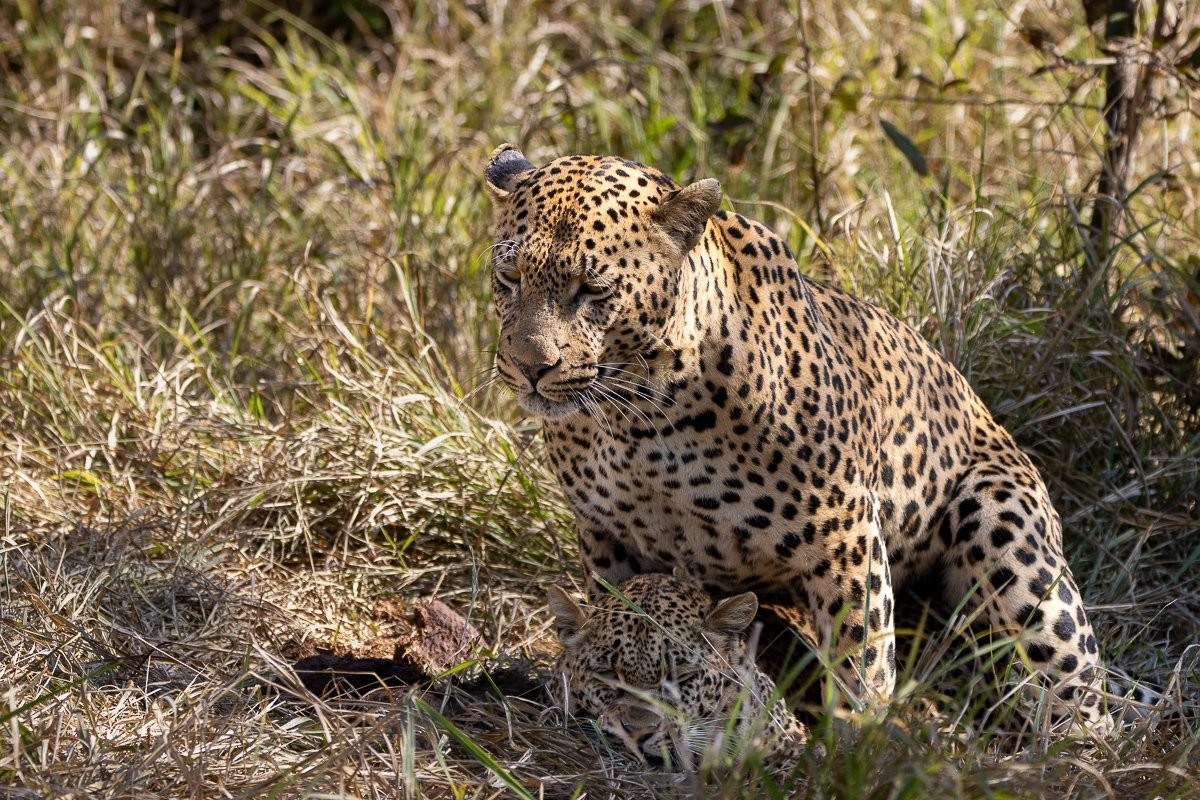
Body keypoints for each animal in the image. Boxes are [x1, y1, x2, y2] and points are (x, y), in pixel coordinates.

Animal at [483, 143, 1131, 735]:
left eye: (592, 291)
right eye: (508, 278)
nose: (530, 366)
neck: (637, 421)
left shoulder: (844, 530)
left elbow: (860, 658)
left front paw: (853, 750)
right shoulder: (606, 535)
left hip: (1008, 540)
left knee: (1082, 701)